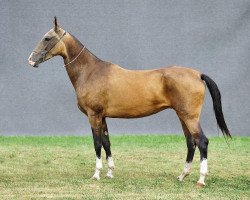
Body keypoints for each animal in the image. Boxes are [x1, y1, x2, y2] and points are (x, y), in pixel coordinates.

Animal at [27, 17, 230, 186]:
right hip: (183, 116)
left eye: (47, 38)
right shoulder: (103, 117)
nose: (31, 60)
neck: (91, 72)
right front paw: (110, 172)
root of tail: (198, 74)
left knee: (202, 142)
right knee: (191, 143)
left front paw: (96, 174)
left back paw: (201, 180)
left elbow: (97, 143)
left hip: (189, 117)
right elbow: (107, 142)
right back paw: (182, 175)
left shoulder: (94, 115)